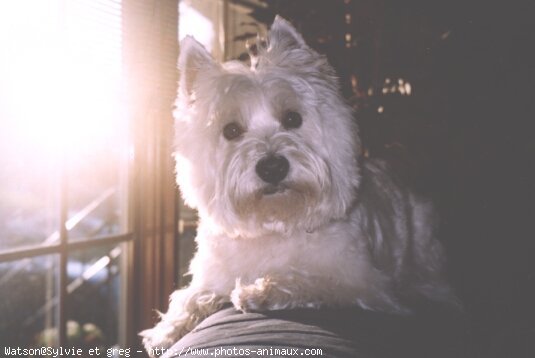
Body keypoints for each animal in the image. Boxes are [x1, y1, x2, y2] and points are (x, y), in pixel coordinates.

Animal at [140, 16, 458, 352]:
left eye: (293, 118)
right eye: (231, 130)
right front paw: (164, 330)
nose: (272, 167)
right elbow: (191, 295)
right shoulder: (214, 274)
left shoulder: (365, 284)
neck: (275, 222)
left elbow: (312, 280)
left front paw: (257, 291)